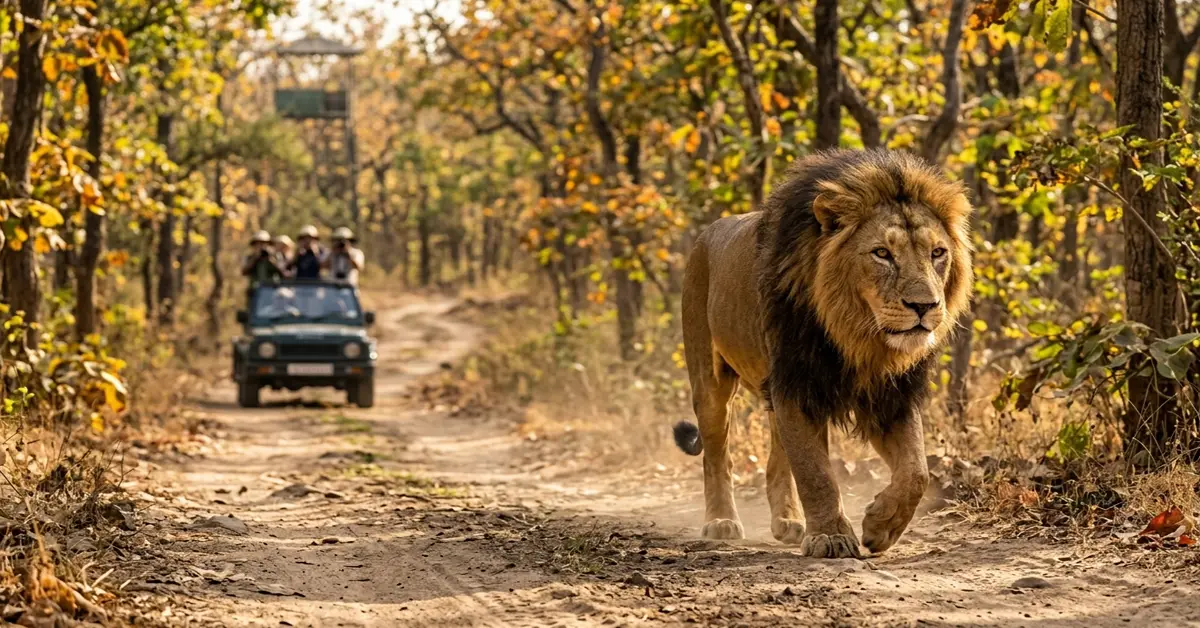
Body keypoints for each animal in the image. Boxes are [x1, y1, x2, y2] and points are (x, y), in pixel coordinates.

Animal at [673, 149, 973, 558]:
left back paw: (789, 521)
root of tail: (706, 234)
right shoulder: (797, 384)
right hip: (711, 382)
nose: (924, 306)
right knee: (718, 454)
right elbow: (815, 473)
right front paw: (831, 537)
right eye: (882, 254)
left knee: (776, 460)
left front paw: (880, 526)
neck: (860, 337)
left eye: (937, 253)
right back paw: (721, 521)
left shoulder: (890, 395)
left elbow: (916, 471)